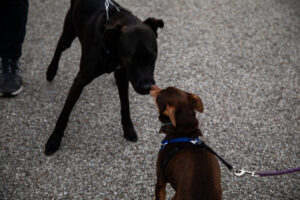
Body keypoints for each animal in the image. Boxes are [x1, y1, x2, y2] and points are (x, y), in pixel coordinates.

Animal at [44, 0, 164, 155]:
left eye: (153, 58)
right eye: (131, 60)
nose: (147, 88)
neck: (112, 48)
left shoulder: (122, 75)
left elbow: (125, 105)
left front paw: (128, 129)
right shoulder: (80, 80)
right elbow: (65, 112)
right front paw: (54, 140)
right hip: (68, 33)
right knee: (59, 48)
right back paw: (51, 71)